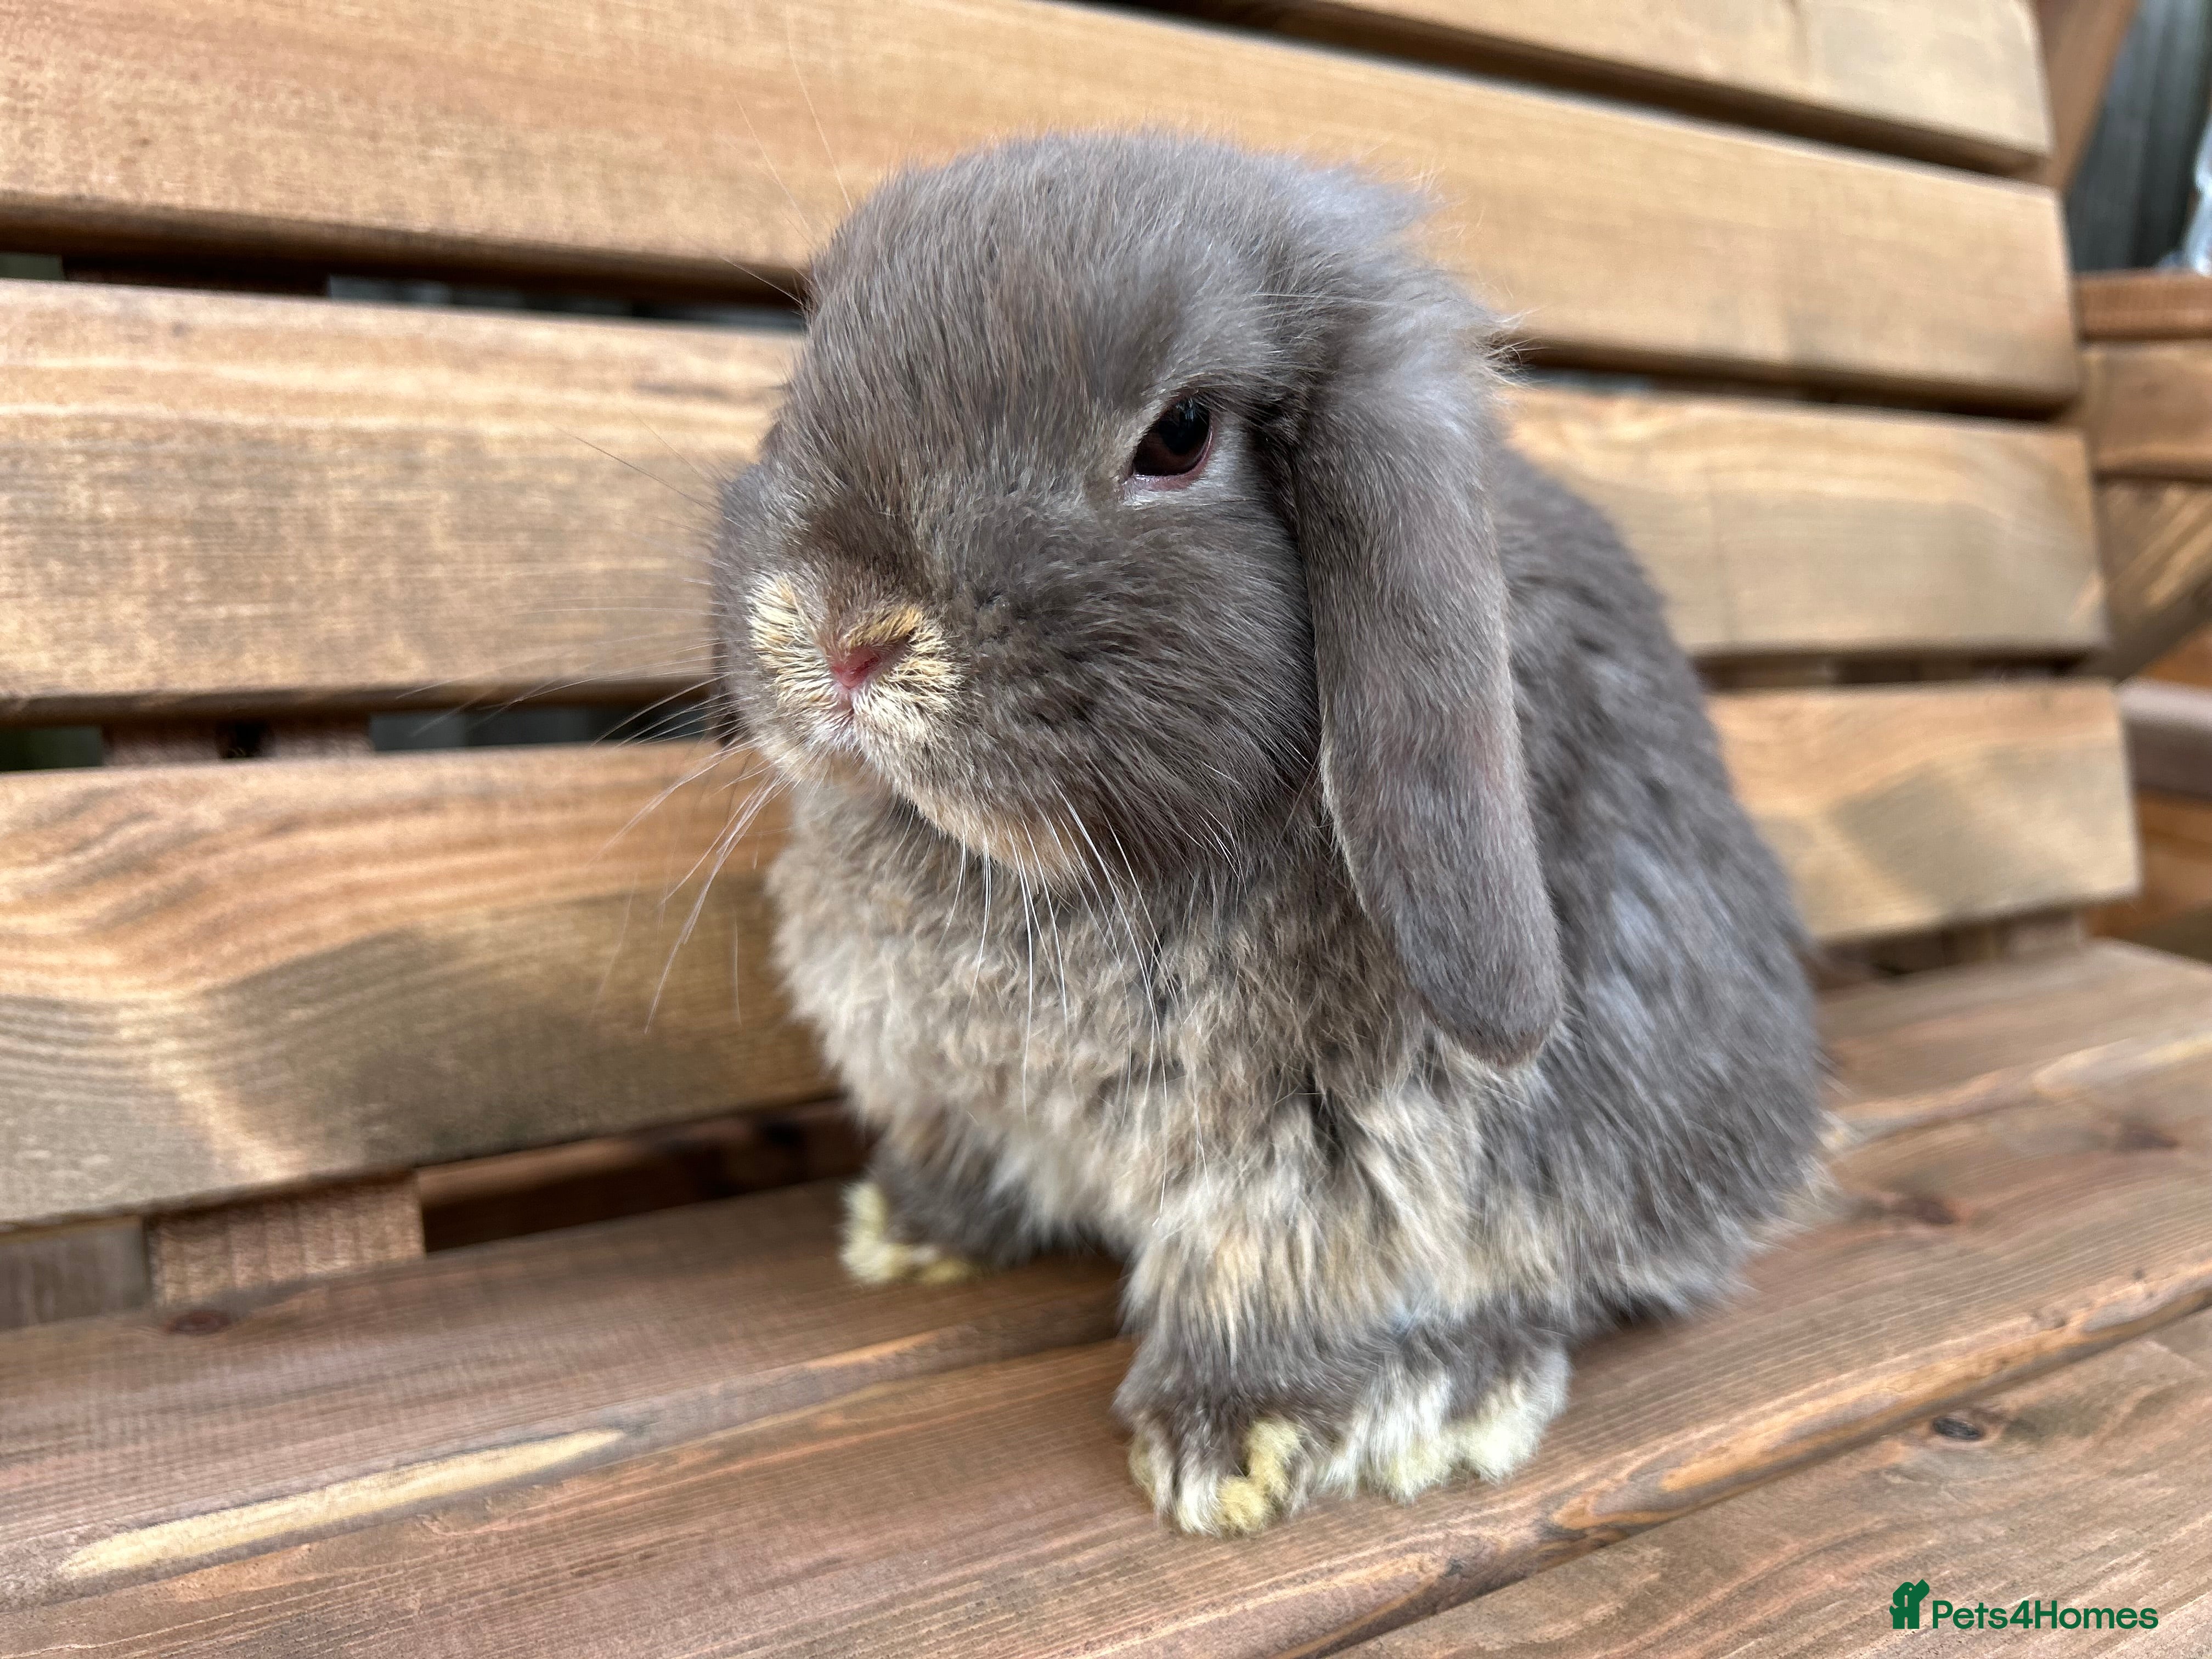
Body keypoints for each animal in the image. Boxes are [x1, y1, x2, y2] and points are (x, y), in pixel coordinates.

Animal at [710, 132, 1824, 1536]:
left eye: (1179, 436)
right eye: (807, 374)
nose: (847, 632)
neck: (1043, 876)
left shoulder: (1325, 1147)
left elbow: (1278, 1263)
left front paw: (1230, 1441)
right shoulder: (950, 1086)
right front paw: (912, 1230)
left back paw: (1448, 1393)